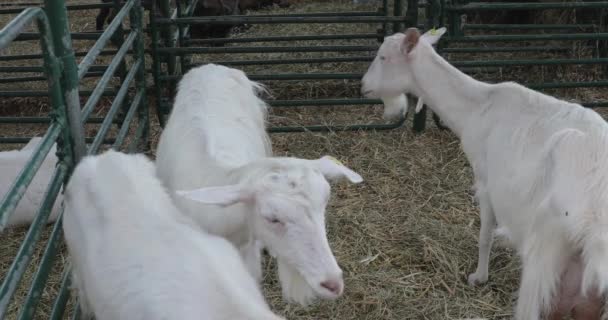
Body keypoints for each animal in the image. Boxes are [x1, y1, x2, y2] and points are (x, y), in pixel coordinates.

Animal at [360, 28, 608, 320]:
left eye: (383, 57)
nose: (363, 85)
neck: (477, 108)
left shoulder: (486, 180)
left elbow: (484, 235)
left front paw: (478, 276)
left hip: (544, 258)